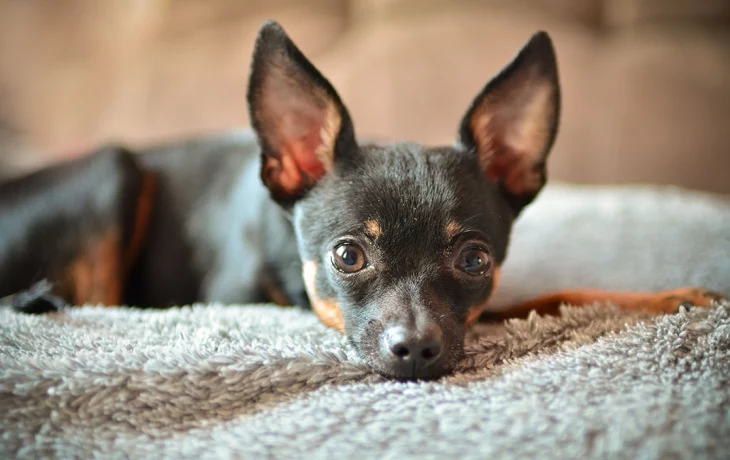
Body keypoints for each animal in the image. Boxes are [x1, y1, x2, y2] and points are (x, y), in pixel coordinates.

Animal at [0, 21, 724, 380]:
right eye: (347, 256)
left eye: (474, 261)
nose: (418, 350)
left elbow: (550, 297)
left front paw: (669, 298)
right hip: (113, 171)